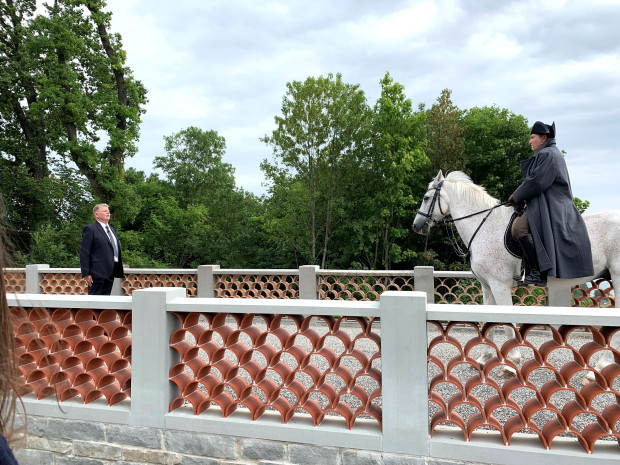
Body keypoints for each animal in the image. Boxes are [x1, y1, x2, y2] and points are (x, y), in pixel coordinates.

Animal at [412, 171, 620, 374]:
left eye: (426, 197)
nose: (416, 225)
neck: (485, 227)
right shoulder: (487, 286)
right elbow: (488, 322)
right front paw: (484, 358)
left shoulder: (500, 285)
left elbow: (508, 323)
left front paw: (511, 362)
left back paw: (599, 368)